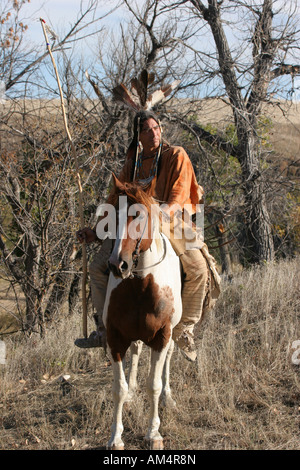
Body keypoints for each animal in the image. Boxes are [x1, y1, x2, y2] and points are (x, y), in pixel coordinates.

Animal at [102, 174, 183, 450]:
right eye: (110, 215)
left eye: (138, 215)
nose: (118, 265)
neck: (140, 285)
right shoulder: (115, 337)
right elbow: (118, 388)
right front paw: (115, 437)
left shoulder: (162, 336)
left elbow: (154, 385)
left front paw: (153, 433)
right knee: (136, 352)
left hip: (173, 333)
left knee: (169, 357)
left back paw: (169, 398)